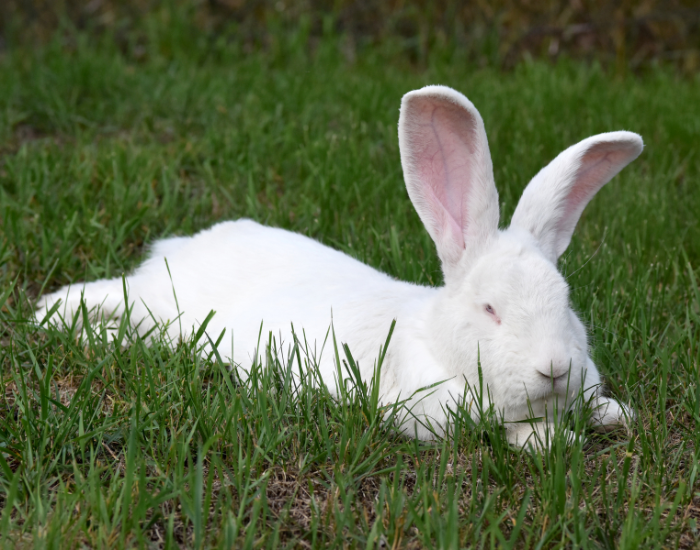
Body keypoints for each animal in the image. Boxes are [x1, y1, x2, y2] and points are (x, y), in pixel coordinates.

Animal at [35, 85, 643, 448]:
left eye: (566, 302)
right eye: (490, 309)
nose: (554, 368)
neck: (432, 339)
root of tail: (176, 251)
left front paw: (617, 415)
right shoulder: (429, 413)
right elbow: (512, 431)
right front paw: (556, 441)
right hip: (162, 306)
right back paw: (55, 318)